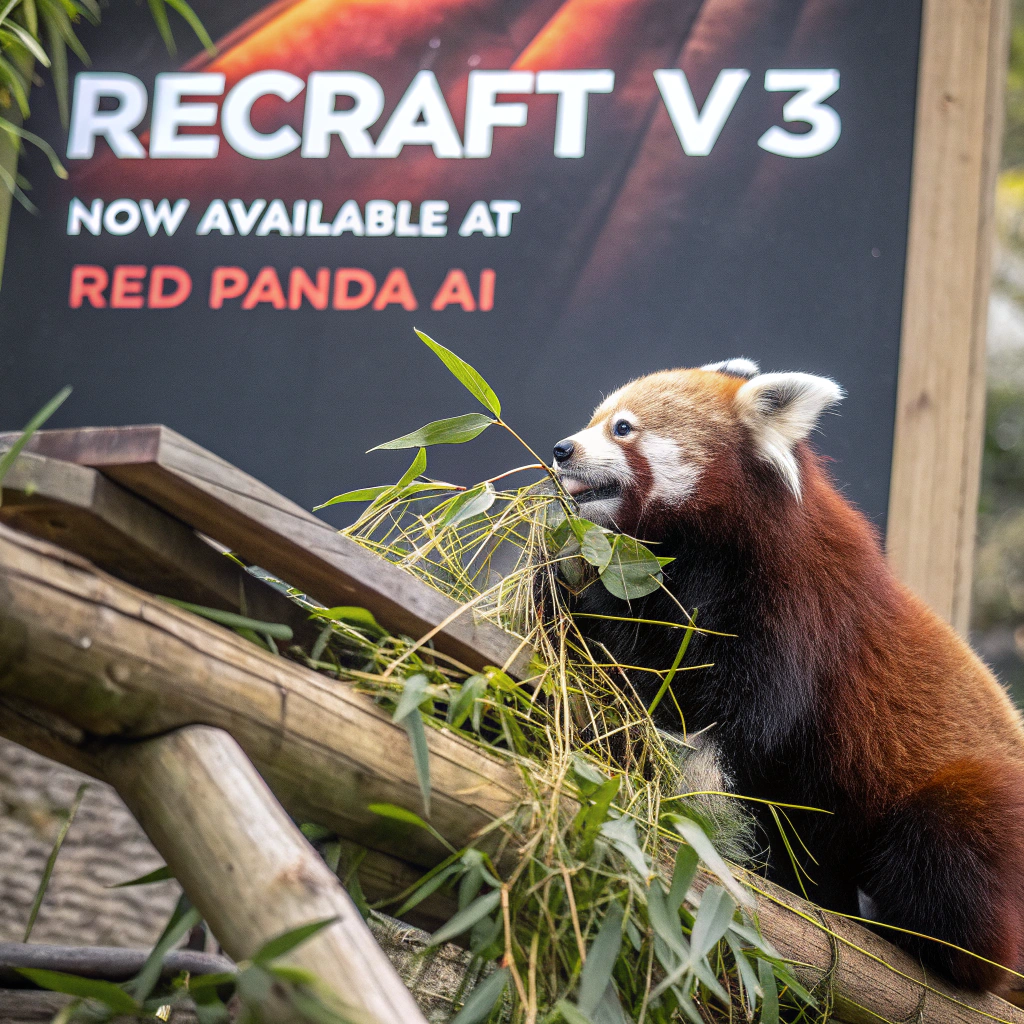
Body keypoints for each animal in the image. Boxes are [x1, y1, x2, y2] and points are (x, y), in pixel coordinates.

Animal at [552, 358, 1024, 994]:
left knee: (943, 858)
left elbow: (735, 720)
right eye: (596, 418)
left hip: (977, 804)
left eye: (622, 427)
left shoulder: (794, 610)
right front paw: (560, 578)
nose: (562, 449)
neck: (711, 546)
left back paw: (941, 950)